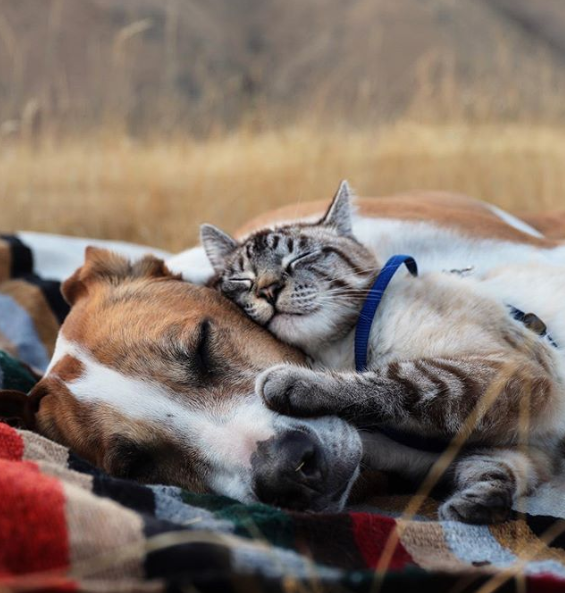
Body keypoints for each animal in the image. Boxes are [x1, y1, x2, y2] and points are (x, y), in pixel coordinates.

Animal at [199, 182, 564, 524]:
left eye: (301, 259)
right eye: (243, 280)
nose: (268, 289)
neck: (338, 351)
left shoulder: (502, 372)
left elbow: (397, 381)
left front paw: (290, 384)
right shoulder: (515, 447)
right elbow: (495, 472)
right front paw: (472, 507)